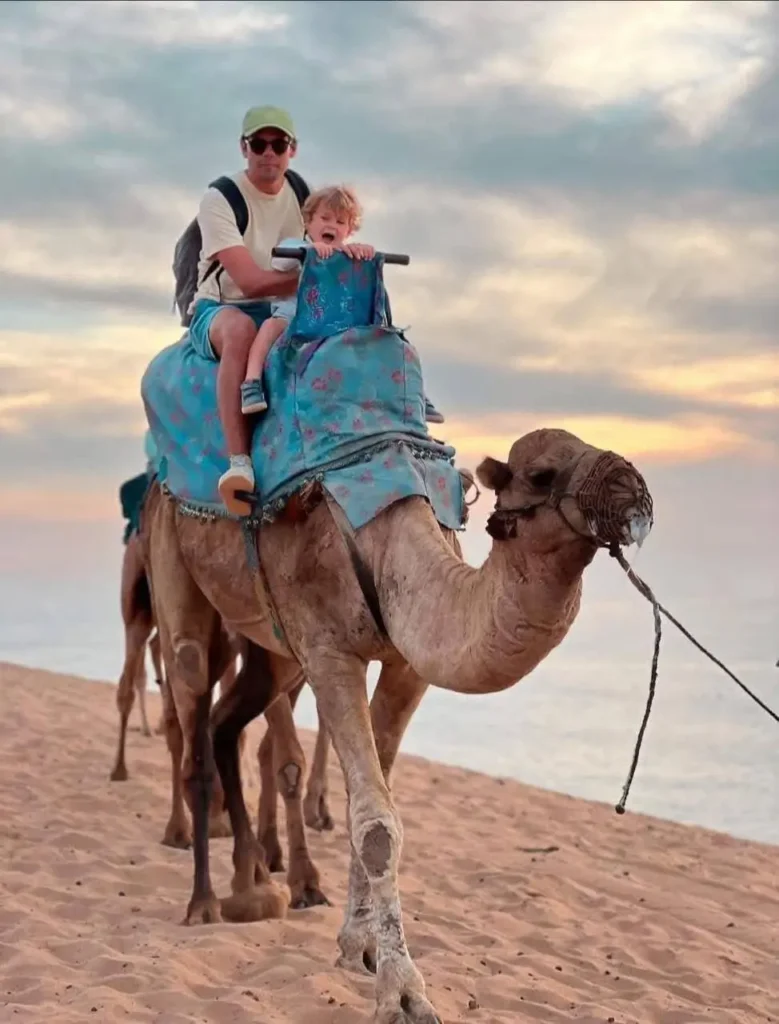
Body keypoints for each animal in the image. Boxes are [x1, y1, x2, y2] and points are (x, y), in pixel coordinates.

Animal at [142, 426, 653, 1024]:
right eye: (542, 474)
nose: (633, 488)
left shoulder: (407, 665)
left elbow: (371, 798)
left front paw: (358, 946)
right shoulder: (328, 653)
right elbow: (376, 823)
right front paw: (404, 994)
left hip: (271, 649)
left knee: (226, 723)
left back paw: (253, 888)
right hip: (178, 579)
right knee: (193, 703)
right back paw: (203, 903)